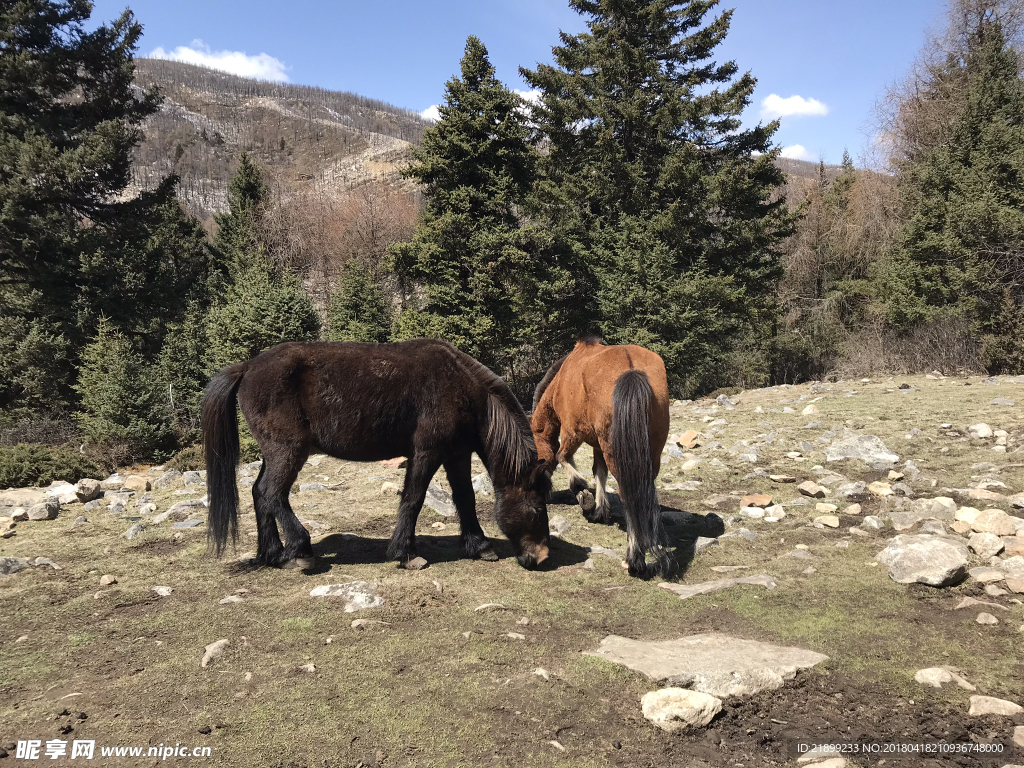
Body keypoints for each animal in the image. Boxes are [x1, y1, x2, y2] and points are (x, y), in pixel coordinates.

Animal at [200, 342, 552, 573]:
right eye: (537, 510)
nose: (542, 558)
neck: (461, 388)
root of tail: (247, 368)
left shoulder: (457, 454)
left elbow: (465, 498)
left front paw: (480, 546)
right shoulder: (427, 452)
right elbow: (414, 498)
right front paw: (406, 554)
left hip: (274, 454)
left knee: (260, 494)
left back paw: (273, 554)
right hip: (287, 451)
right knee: (271, 493)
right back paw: (300, 551)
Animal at [532, 335, 667, 577]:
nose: (543, 492)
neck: (560, 382)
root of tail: (631, 369)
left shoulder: (572, 432)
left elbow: (563, 457)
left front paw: (584, 498)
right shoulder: (597, 444)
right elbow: (599, 473)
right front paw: (600, 511)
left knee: (628, 495)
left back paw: (635, 559)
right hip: (648, 453)